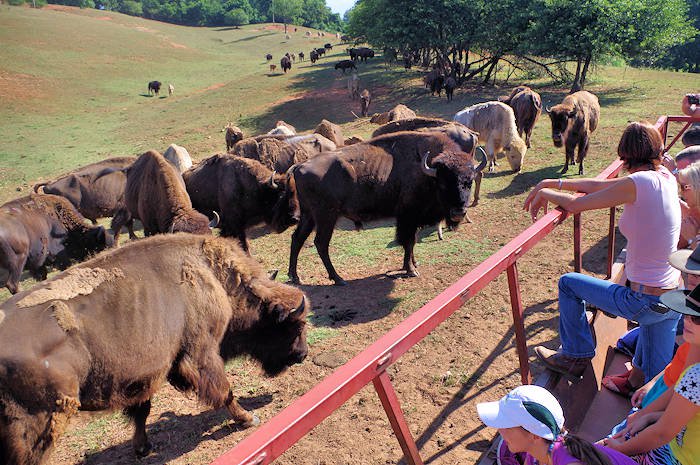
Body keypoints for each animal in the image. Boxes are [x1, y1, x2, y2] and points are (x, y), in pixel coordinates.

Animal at [0, 234, 308, 462]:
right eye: (294, 326)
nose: (302, 354)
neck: (210, 274)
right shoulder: (202, 351)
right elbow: (224, 391)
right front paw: (248, 419)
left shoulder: (144, 374)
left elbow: (141, 411)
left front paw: (142, 448)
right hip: (40, 423)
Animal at [288, 129, 484, 284]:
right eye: (442, 184)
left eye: (469, 182)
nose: (458, 212)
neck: (428, 173)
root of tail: (299, 166)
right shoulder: (408, 216)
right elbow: (408, 241)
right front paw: (411, 270)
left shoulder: (412, 219)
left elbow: (411, 242)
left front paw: (413, 264)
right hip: (326, 217)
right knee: (321, 243)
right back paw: (338, 279)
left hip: (309, 216)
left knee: (297, 238)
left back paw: (295, 277)